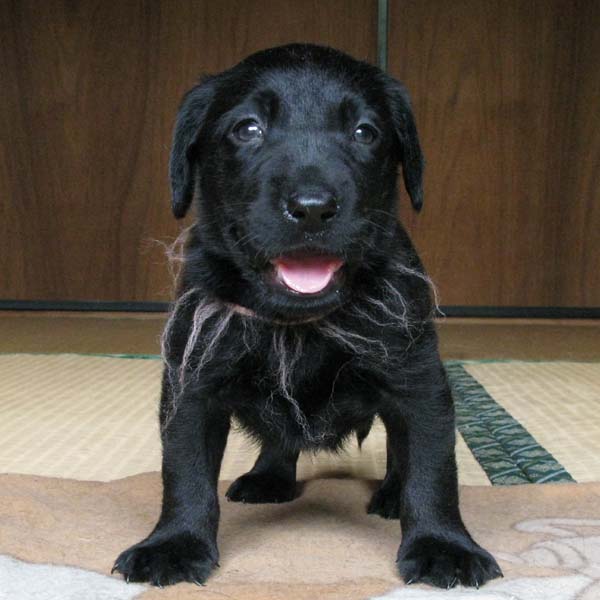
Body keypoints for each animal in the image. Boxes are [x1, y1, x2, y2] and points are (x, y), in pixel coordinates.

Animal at [113, 43, 502, 589]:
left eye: (365, 132)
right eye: (248, 128)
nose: (313, 207)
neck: (301, 323)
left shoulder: (418, 381)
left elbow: (432, 468)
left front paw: (443, 545)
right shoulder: (192, 383)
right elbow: (184, 472)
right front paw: (174, 543)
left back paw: (390, 493)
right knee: (280, 439)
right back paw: (268, 476)